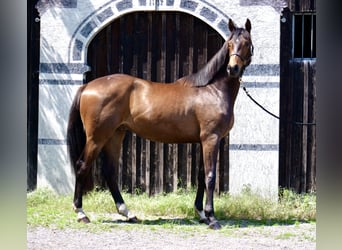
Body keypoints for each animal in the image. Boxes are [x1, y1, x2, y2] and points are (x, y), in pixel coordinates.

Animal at [67, 18, 254, 229]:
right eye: (229, 44)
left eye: (246, 42)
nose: (232, 69)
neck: (212, 90)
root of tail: (87, 86)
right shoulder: (211, 139)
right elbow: (210, 176)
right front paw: (212, 218)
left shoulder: (204, 140)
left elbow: (200, 176)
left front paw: (201, 214)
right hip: (97, 137)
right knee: (82, 166)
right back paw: (81, 213)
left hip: (115, 134)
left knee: (110, 172)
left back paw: (128, 213)